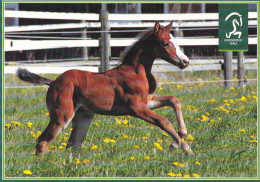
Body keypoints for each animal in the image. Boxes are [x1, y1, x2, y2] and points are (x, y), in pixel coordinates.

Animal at [17, 21, 193, 155]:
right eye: (165, 43)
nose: (185, 62)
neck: (135, 71)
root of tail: (53, 82)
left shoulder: (147, 101)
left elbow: (173, 100)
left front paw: (182, 134)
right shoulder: (136, 108)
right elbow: (164, 121)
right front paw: (184, 147)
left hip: (83, 117)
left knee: (73, 145)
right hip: (62, 116)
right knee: (43, 141)